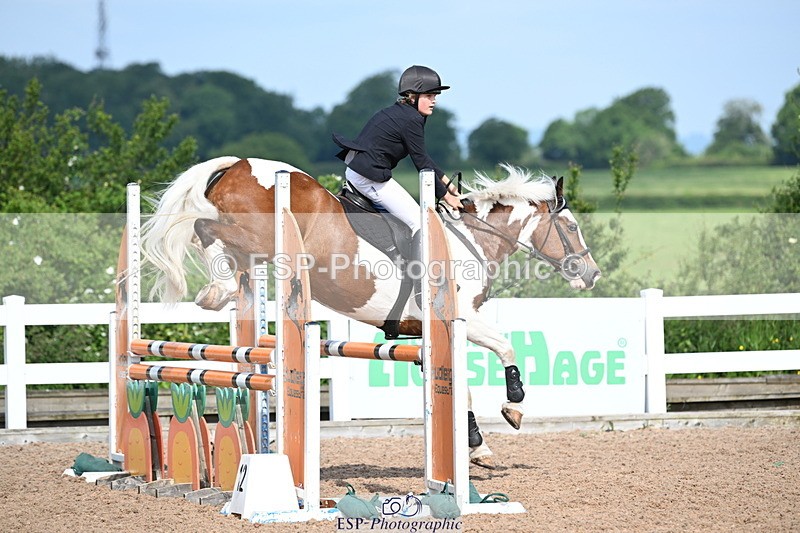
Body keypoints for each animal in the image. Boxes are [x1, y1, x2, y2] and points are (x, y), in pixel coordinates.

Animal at [140, 157, 601, 468]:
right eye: (572, 227)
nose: (591, 274)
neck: (471, 240)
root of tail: (237, 165)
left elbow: (461, 387)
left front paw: (476, 444)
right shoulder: (464, 320)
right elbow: (505, 348)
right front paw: (513, 408)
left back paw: (221, 293)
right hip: (257, 234)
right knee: (202, 228)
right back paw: (215, 291)